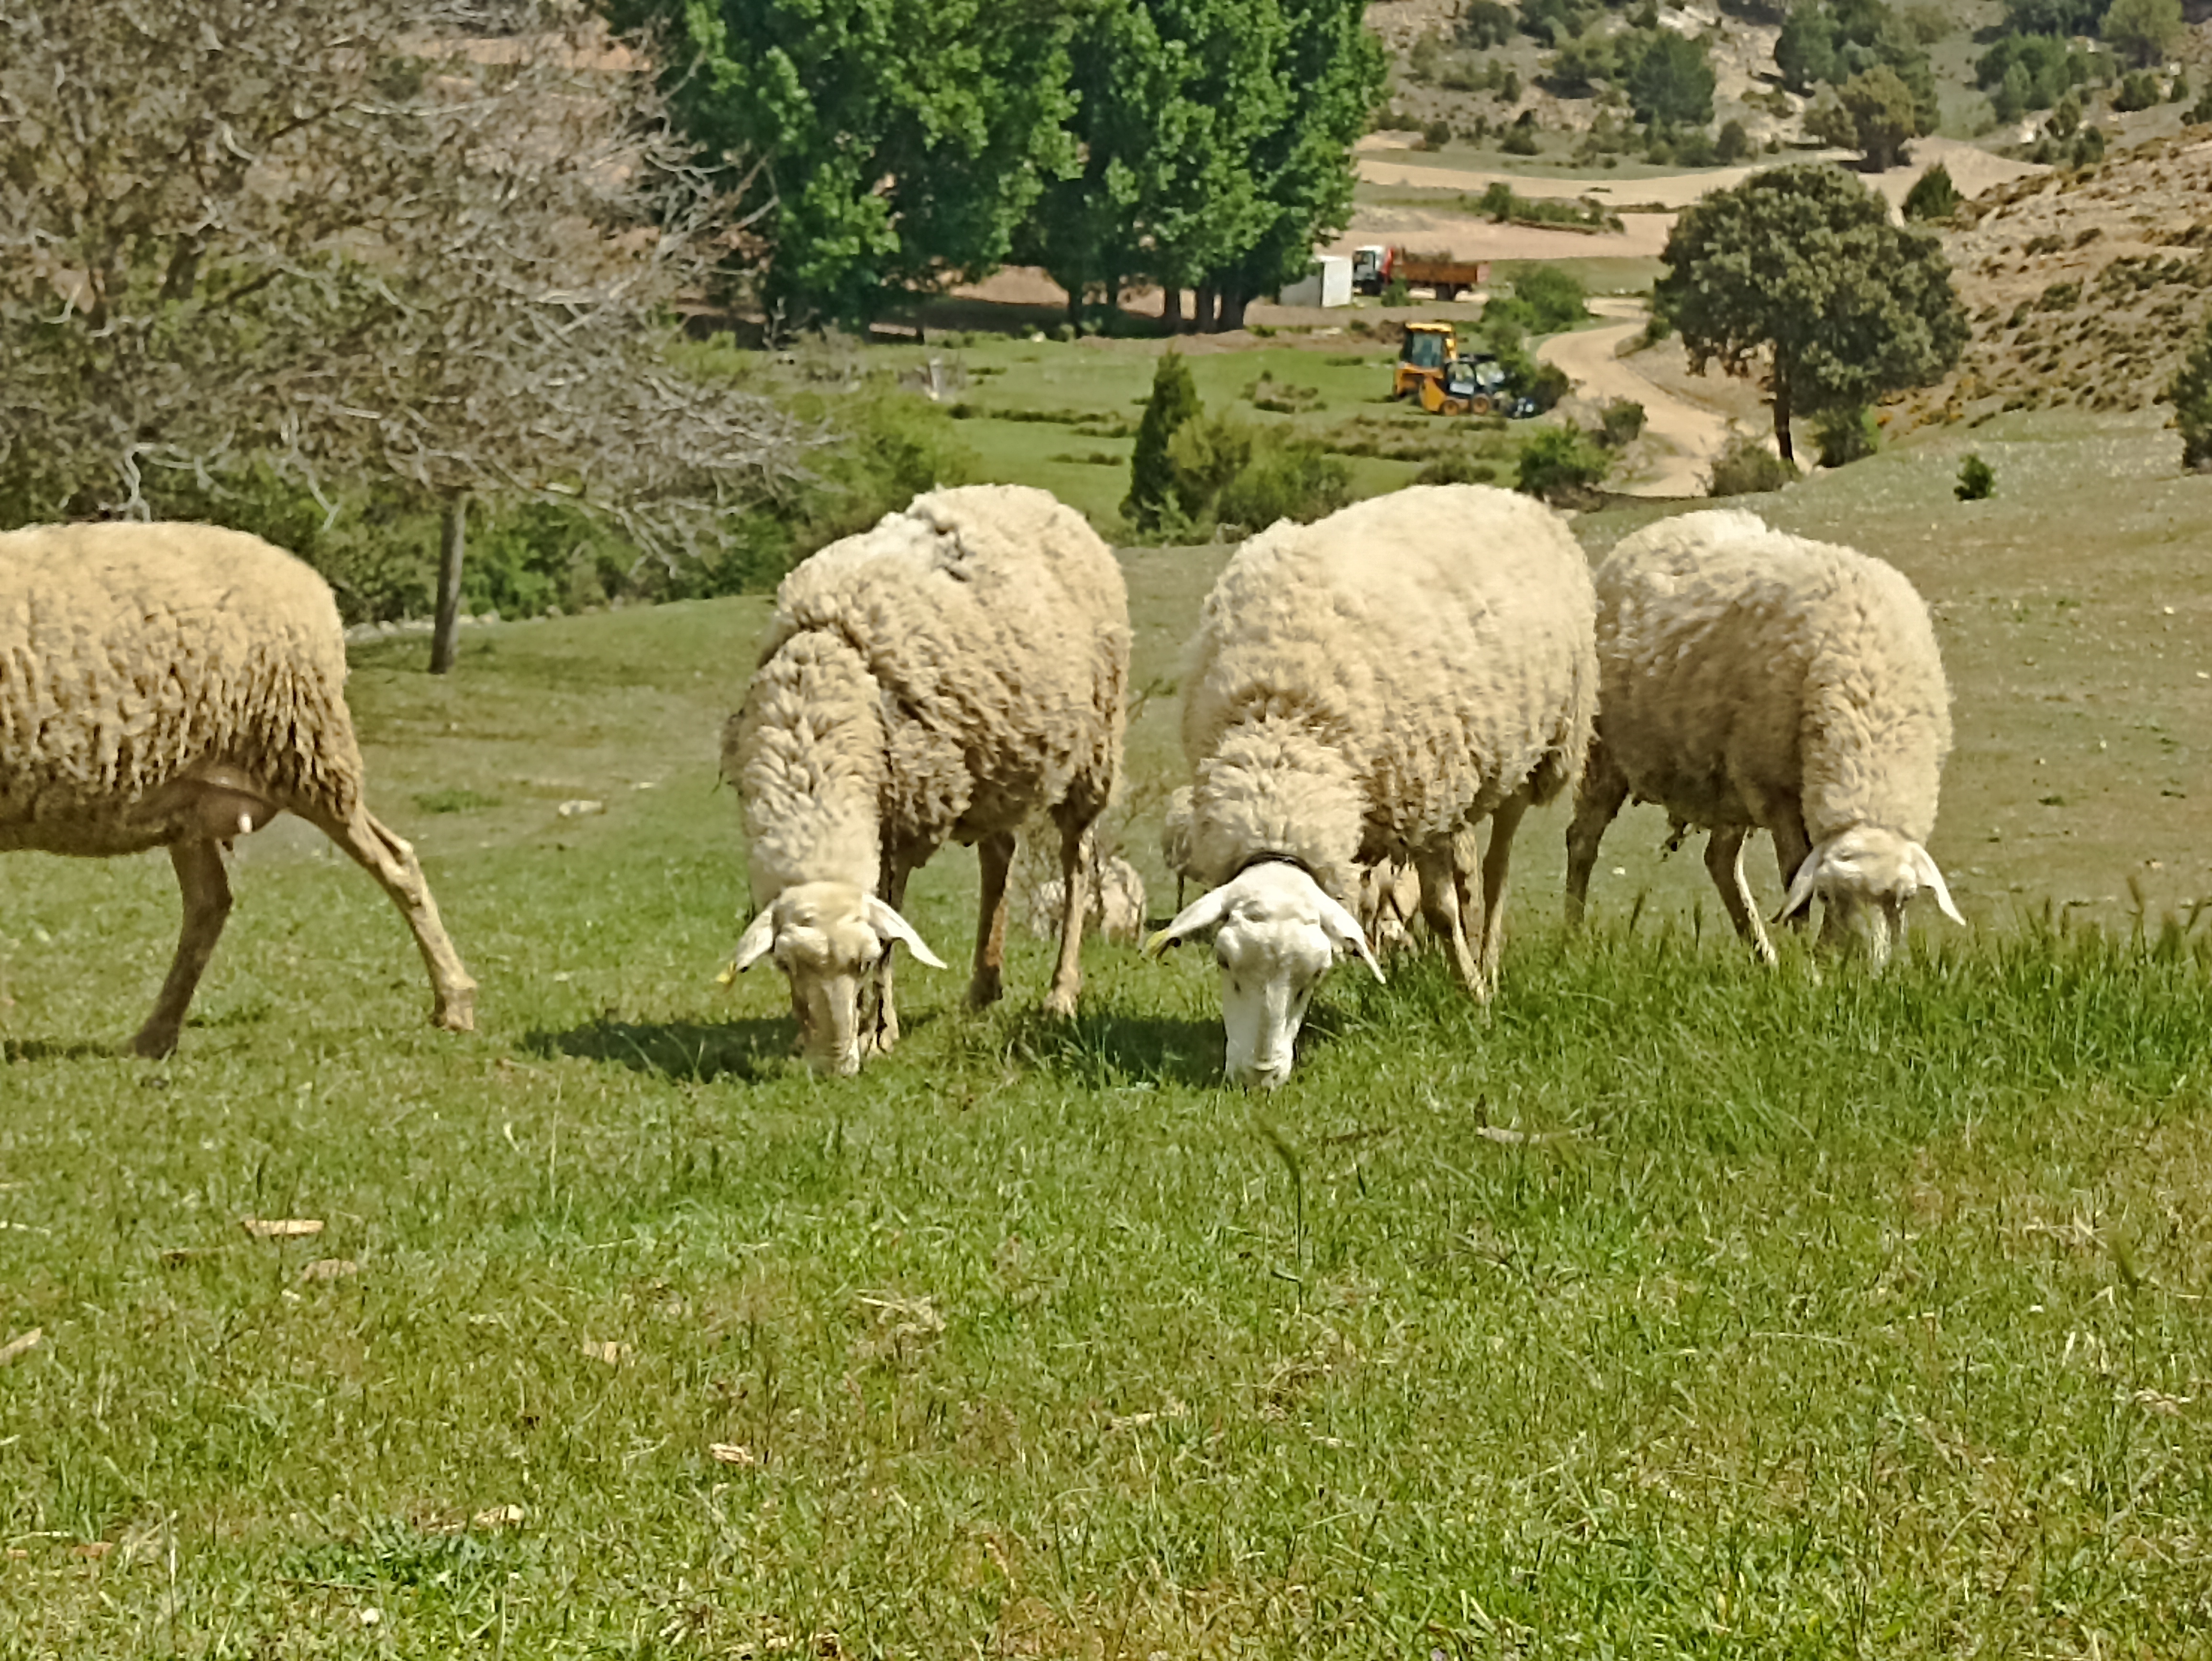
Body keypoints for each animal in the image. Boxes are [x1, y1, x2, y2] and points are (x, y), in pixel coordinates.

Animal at [0, 522, 476, 1055]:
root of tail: (310, 584)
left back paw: (454, 1004)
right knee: (210, 902)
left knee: (396, 862)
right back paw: (155, 1035)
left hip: (304, 748)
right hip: (196, 796)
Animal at [722, 485, 1129, 1075]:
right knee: (999, 856)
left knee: (1076, 862)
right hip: (998, 756)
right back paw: (983, 984)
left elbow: (892, 927)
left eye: (862, 962)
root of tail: (1029, 493)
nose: (834, 1066)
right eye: (786, 966)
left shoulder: (903, 817)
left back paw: (1061, 992)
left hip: (1095, 746)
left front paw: (878, 1030)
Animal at [1147, 484, 1598, 1087]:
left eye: (1315, 976)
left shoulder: (1428, 796)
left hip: (1539, 750)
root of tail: (1507, 494)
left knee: (1497, 867)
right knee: (1469, 871)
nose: (1259, 1078)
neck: (1283, 739)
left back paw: (1487, 967)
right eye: (1224, 962)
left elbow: (1439, 910)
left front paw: (1474, 997)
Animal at [1564, 508, 1962, 967]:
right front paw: (1808, 964)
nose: (1857, 968)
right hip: (1604, 752)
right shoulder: (1777, 795)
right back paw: (1572, 936)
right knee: (1582, 840)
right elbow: (1794, 886)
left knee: (1719, 861)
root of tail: (1664, 527)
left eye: (1905, 899)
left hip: (1726, 785)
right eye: (1828, 896)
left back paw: (1762, 957)